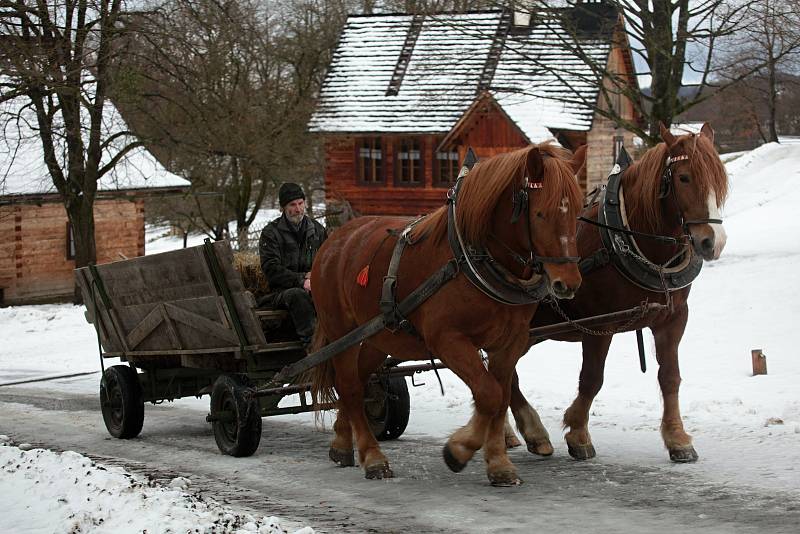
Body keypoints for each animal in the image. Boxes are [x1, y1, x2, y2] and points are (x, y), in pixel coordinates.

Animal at [510, 124, 728, 464]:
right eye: (683, 178)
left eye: (720, 177)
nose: (712, 242)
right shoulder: (600, 323)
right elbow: (592, 378)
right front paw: (578, 433)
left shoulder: (674, 318)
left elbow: (670, 376)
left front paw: (677, 438)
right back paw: (532, 432)